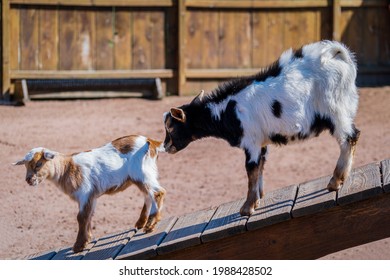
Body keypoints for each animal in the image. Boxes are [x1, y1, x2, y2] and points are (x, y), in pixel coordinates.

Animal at [12, 135, 165, 253]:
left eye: (38, 164)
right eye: (25, 166)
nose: (28, 180)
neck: (67, 168)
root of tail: (152, 141)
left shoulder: (85, 193)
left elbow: (81, 217)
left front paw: (78, 246)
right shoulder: (91, 197)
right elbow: (89, 215)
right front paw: (87, 239)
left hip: (142, 172)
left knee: (158, 193)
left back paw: (150, 225)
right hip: (139, 177)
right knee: (148, 194)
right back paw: (141, 222)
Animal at [163, 40, 362, 217]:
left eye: (170, 128)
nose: (165, 147)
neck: (227, 109)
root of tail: (338, 54)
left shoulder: (251, 141)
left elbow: (251, 170)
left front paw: (247, 208)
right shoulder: (261, 143)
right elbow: (260, 168)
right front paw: (257, 201)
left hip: (335, 110)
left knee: (349, 138)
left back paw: (334, 182)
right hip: (344, 110)